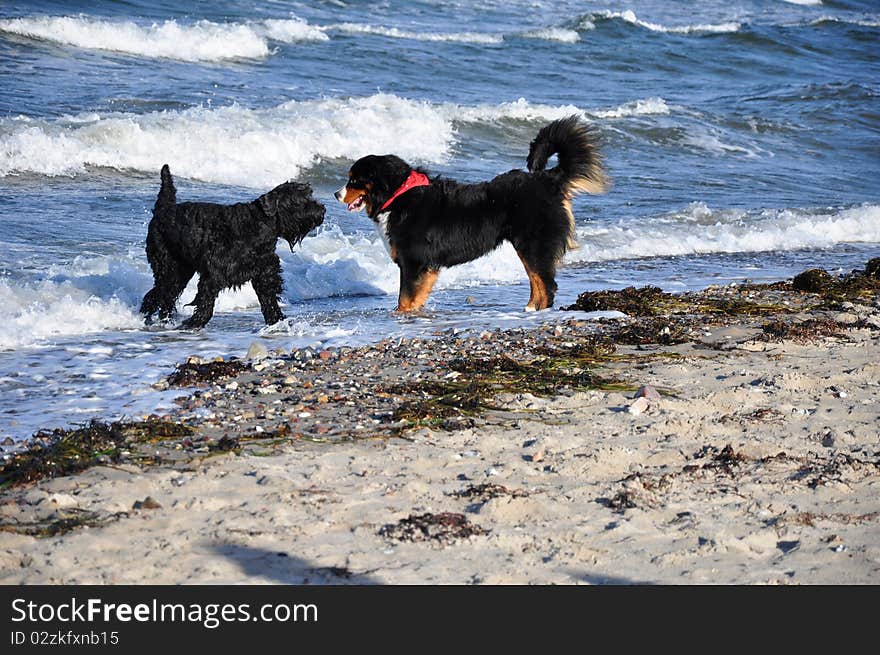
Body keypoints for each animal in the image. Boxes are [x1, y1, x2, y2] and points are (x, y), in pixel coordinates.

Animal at [139, 164, 324, 328]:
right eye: (299, 200)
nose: (322, 210)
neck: (259, 223)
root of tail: (163, 210)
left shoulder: (265, 275)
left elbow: (270, 302)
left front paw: (276, 321)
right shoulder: (213, 275)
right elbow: (205, 303)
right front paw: (194, 323)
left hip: (181, 271)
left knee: (162, 296)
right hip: (169, 268)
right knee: (159, 294)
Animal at [336, 114, 604, 312]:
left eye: (354, 180)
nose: (336, 194)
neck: (398, 195)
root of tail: (548, 178)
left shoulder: (413, 262)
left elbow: (404, 298)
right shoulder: (427, 267)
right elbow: (415, 299)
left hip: (533, 245)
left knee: (546, 284)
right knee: (538, 281)